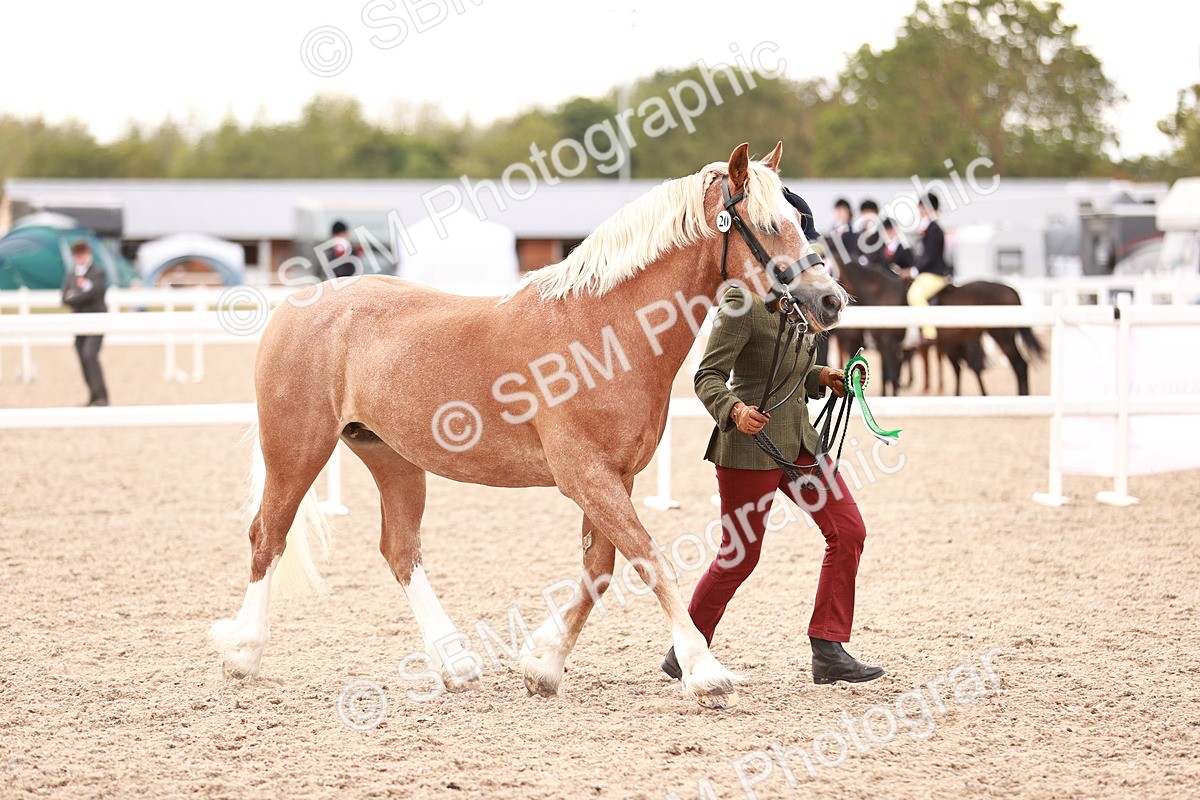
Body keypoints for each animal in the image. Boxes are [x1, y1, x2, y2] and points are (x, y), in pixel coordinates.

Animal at [209, 142, 848, 710]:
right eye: (766, 224)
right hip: (298, 449)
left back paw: (455, 663)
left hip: (391, 457)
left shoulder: (614, 478)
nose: (831, 300)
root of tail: (297, 306)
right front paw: (705, 673)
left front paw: (543, 665)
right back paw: (243, 652)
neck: (606, 331)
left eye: (800, 219)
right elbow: (648, 559)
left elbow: (599, 572)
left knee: (400, 550)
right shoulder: (587, 476)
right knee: (267, 537)